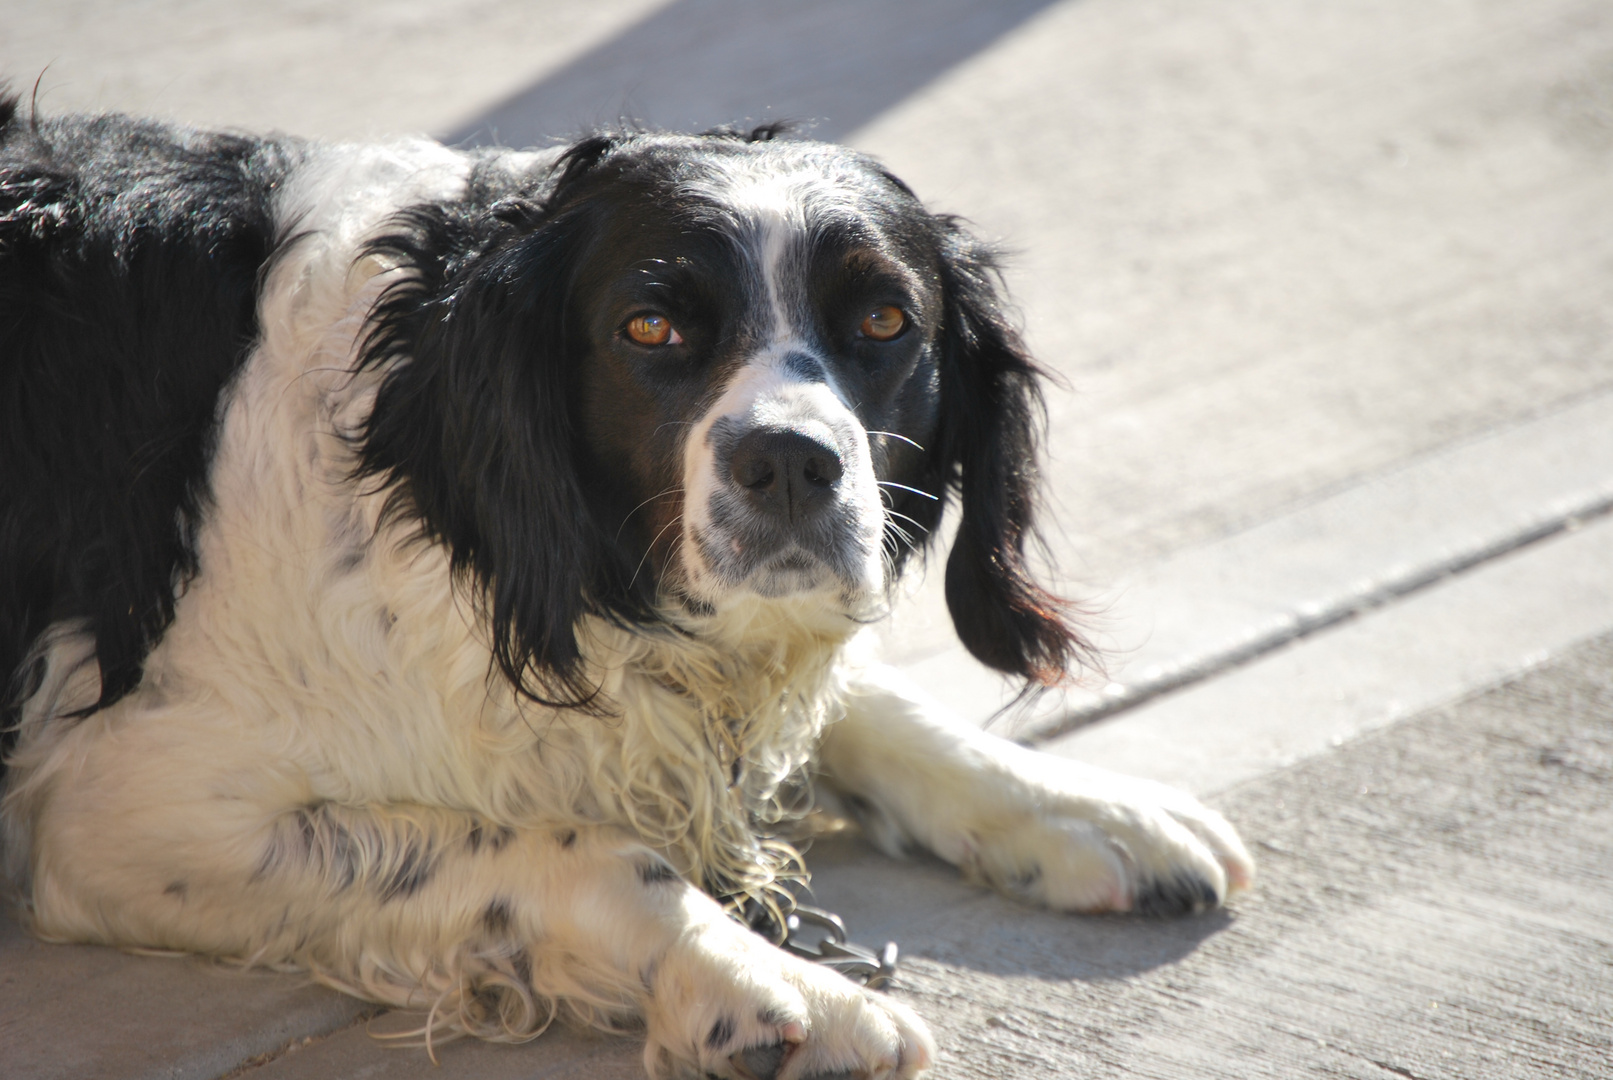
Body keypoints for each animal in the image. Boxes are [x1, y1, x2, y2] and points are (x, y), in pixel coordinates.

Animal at [0, 95, 1251, 1080]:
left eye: (884, 319)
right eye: (649, 326)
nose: (788, 462)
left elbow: (874, 702)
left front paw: (1080, 806)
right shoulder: (130, 813)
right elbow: (588, 853)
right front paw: (774, 986)